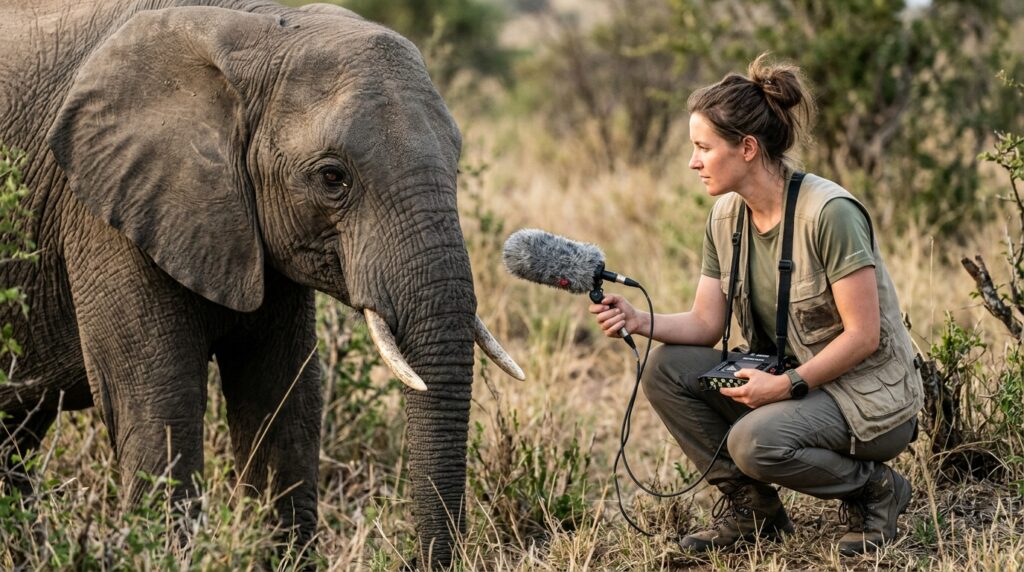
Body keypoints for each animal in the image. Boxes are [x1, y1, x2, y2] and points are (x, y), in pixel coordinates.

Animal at [0, 0, 524, 567]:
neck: (253, 28)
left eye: (457, 164)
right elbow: (157, 403)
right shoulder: (106, 209)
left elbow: (282, 398)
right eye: (333, 177)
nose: (412, 559)